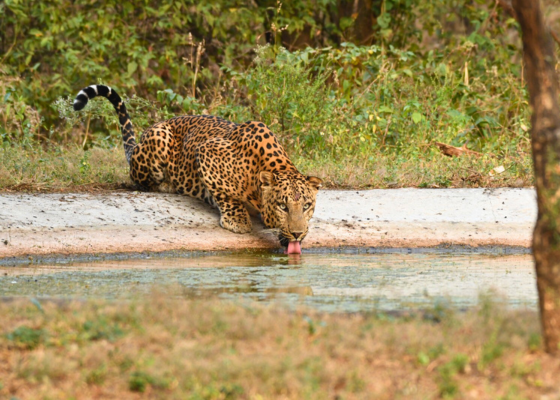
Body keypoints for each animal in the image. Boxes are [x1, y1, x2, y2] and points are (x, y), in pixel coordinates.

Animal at [72, 84, 322, 253]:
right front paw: (238, 221)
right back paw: (167, 185)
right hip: (158, 139)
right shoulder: (207, 151)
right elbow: (226, 194)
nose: (298, 234)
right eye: (283, 206)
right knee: (141, 181)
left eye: (307, 206)